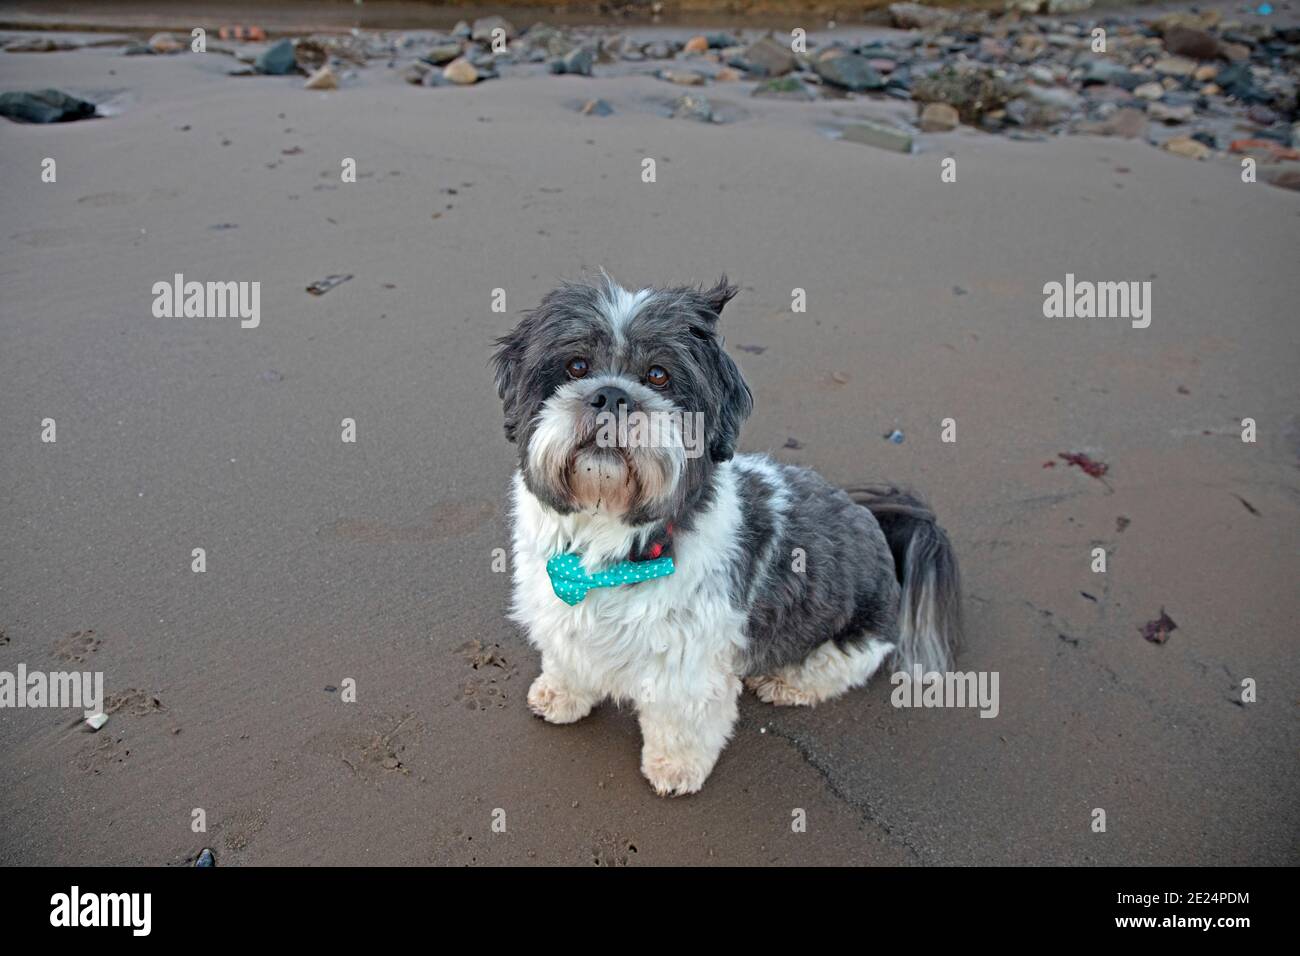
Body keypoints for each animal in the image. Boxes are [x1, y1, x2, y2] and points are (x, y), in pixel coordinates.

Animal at [491, 278, 961, 801]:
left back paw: (787, 683)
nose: (611, 395)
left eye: (658, 376)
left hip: (853, 636)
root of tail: (877, 524)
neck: (608, 541)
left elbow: (681, 721)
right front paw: (562, 693)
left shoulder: (687, 664)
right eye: (576, 366)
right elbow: (568, 655)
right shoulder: (559, 607)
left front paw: (676, 767)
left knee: (842, 665)